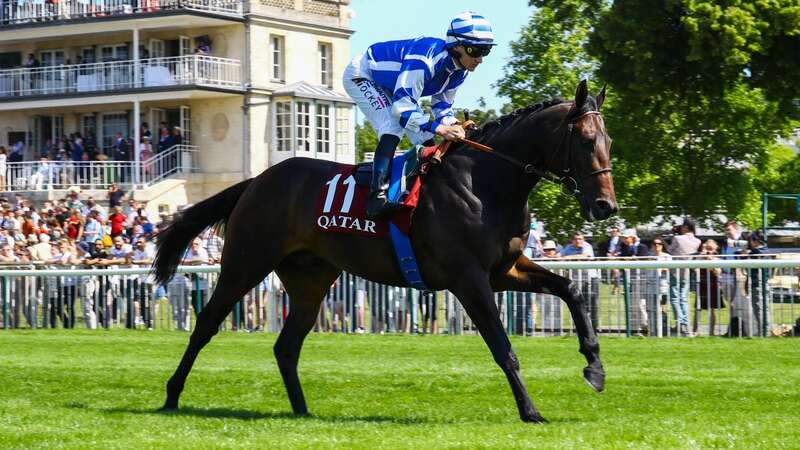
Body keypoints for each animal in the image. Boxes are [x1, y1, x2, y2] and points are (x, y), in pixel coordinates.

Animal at [155, 80, 620, 422]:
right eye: (585, 141)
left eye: (609, 141)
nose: (605, 206)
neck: (485, 184)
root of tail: (256, 180)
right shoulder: (469, 279)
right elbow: (502, 347)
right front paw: (530, 410)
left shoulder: (505, 271)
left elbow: (570, 290)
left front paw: (594, 369)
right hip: (247, 261)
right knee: (206, 325)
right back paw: (172, 396)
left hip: (311, 278)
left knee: (286, 346)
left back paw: (303, 410)